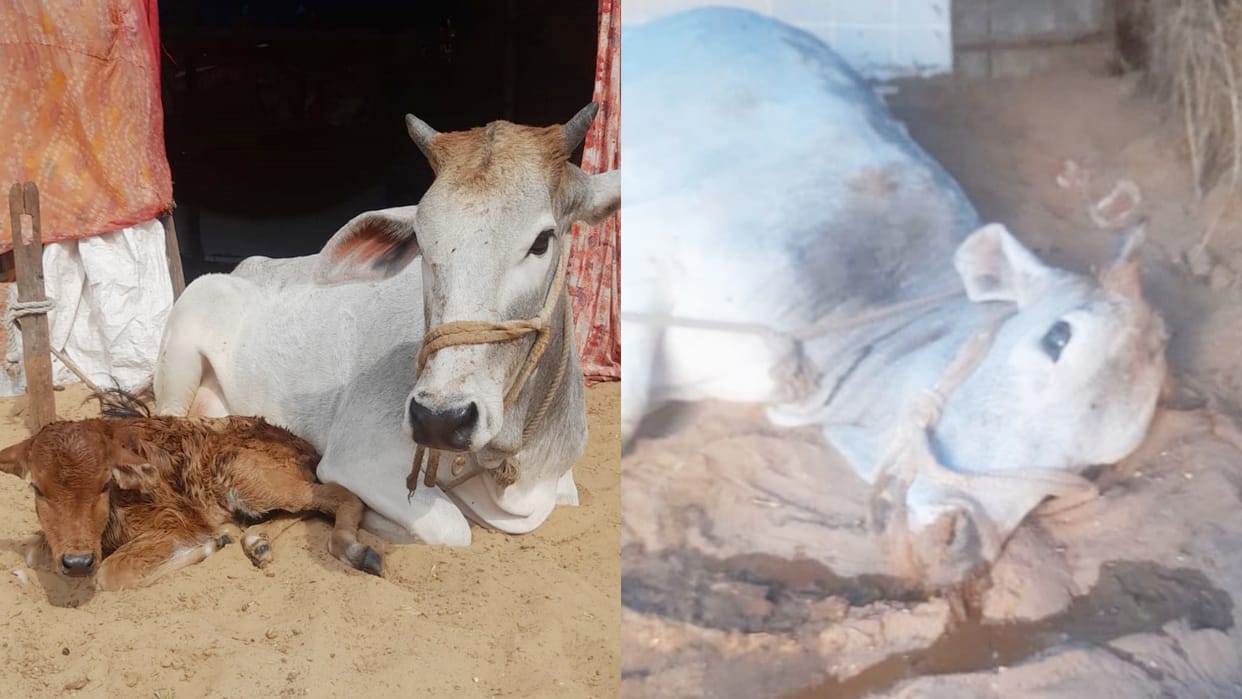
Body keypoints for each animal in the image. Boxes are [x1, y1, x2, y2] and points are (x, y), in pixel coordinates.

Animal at [0, 390, 381, 591]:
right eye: (36, 488)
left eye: (105, 483)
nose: (77, 562)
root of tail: (303, 445)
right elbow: (34, 552)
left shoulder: (176, 523)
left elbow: (111, 573)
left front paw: (211, 544)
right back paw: (257, 542)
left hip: (246, 475)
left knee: (340, 495)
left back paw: (356, 550)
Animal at [152, 106, 620, 546]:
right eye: (422, 243)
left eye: (542, 241)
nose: (440, 419)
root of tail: (246, 266)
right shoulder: (356, 457)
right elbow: (453, 528)